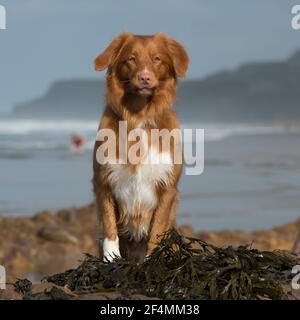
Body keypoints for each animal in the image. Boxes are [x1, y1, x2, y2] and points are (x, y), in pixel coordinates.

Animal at [92, 32, 189, 262]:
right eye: (131, 59)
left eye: (157, 59)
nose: (144, 77)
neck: (140, 116)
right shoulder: (103, 181)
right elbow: (109, 226)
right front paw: (111, 259)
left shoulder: (167, 187)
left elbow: (157, 230)